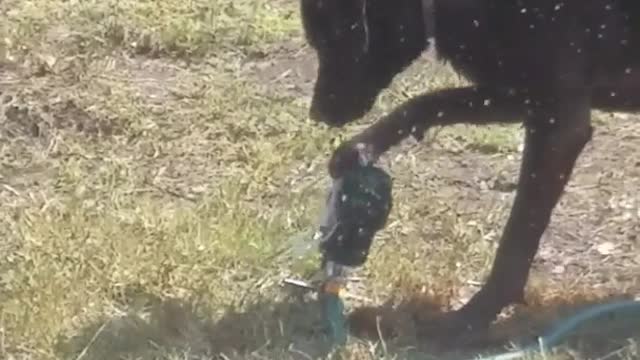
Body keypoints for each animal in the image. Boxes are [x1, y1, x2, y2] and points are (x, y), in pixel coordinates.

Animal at [300, 0, 640, 340]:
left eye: (333, 38)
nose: (317, 113)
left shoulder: (559, 122)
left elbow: (516, 239)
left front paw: (469, 320)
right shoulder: (516, 94)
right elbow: (430, 102)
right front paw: (361, 148)